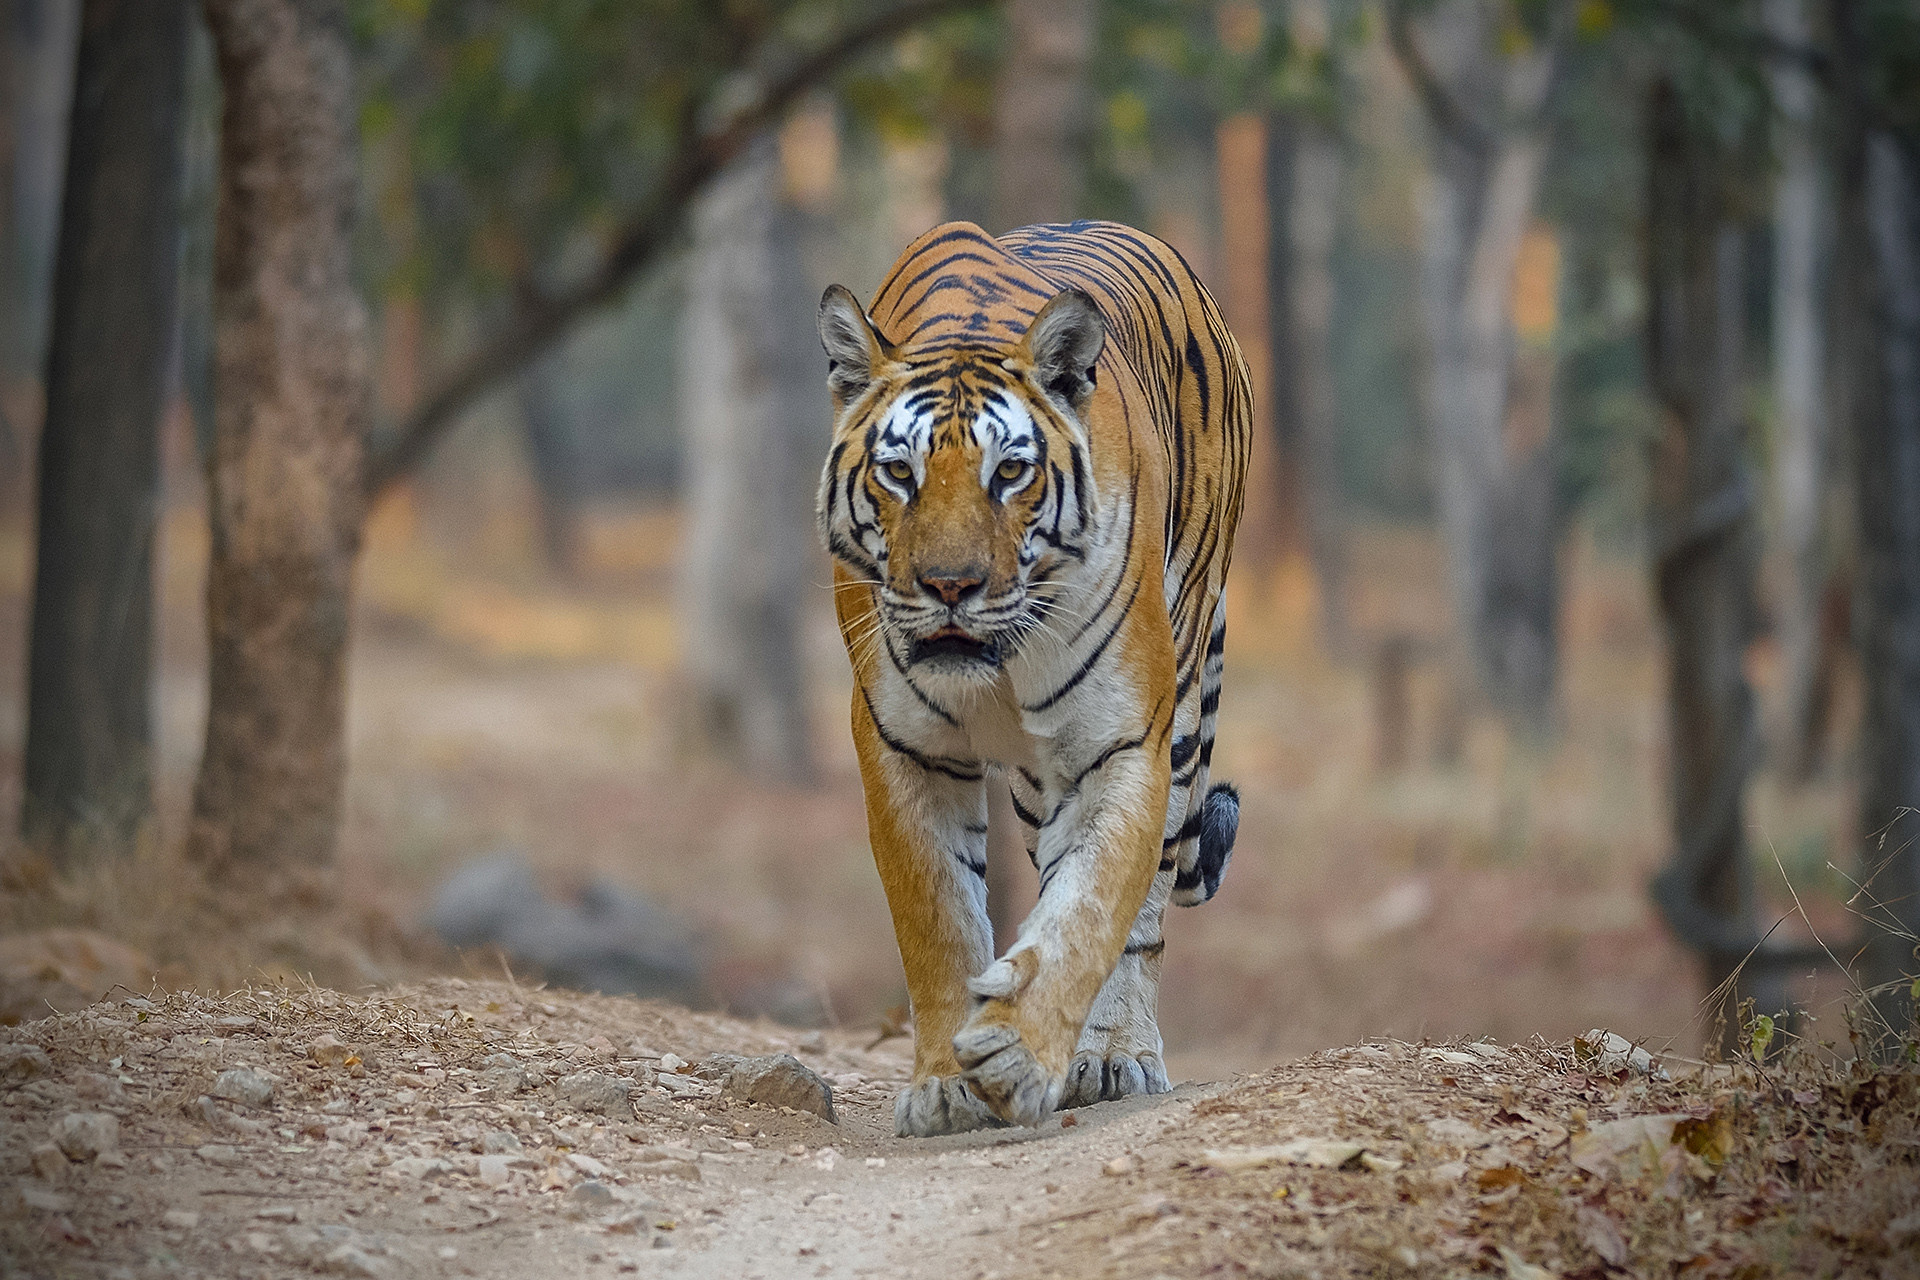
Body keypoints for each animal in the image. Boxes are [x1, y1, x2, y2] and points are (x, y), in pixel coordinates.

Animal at [815, 219, 1251, 1136]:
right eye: (899, 472)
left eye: (1009, 472)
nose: (950, 585)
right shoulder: (901, 745)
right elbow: (938, 915)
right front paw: (946, 1084)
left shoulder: (1121, 740)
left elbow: (1092, 905)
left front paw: (1020, 1054)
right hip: (1028, 778)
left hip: (1183, 693)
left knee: (1147, 903)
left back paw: (1114, 1053)